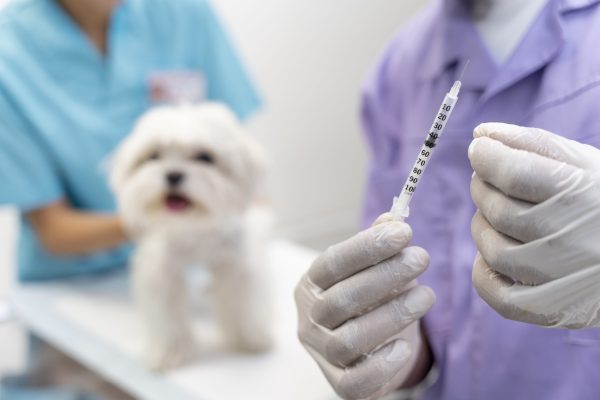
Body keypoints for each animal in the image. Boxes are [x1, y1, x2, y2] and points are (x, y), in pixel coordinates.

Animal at [110, 103, 274, 372]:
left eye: (205, 157)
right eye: (154, 155)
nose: (173, 174)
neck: (195, 228)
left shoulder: (236, 261)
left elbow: (240, 299)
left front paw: (247, 339)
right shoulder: (162, 269)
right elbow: (168, 312)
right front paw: (170, 353)